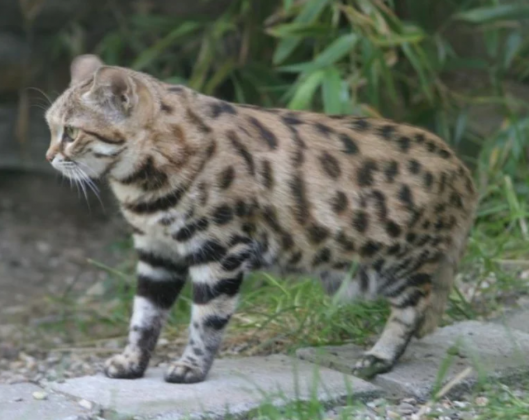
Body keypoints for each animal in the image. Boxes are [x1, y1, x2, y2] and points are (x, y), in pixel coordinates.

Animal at [43, 55, 476, 384]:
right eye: (50, 126)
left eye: (71, 132)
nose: (48, 157)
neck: (141, 180)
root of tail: (463, 171)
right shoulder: (157, 251)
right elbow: (144, 315)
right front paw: (132, 362)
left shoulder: (220, 249)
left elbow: (207, 318)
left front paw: (191, 367)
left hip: (396, 264)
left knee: (413, 308)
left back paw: (380, 356)